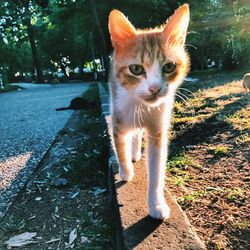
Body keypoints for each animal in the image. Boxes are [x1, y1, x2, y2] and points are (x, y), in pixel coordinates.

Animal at [108, 3, 190, 219]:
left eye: (169, 66)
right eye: (136, 69)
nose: (155, 88)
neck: (142, 106)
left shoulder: (158, 128)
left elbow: (156, 169)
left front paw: (156, 204)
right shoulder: (118, 117)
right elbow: (120, 146)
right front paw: (126, 172)